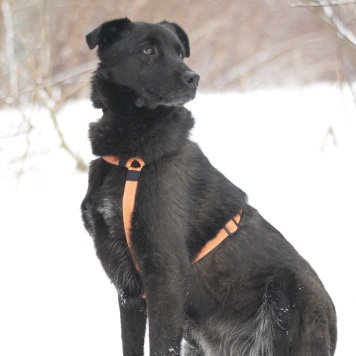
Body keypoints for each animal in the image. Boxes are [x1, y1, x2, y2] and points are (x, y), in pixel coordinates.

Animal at [80, 18, 336, 354]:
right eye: (148, 50)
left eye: (180, 52)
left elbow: (161, 345)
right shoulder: (128, 289)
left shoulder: (165, 279)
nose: (194, 78)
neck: (130, 159)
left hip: (286, 293)